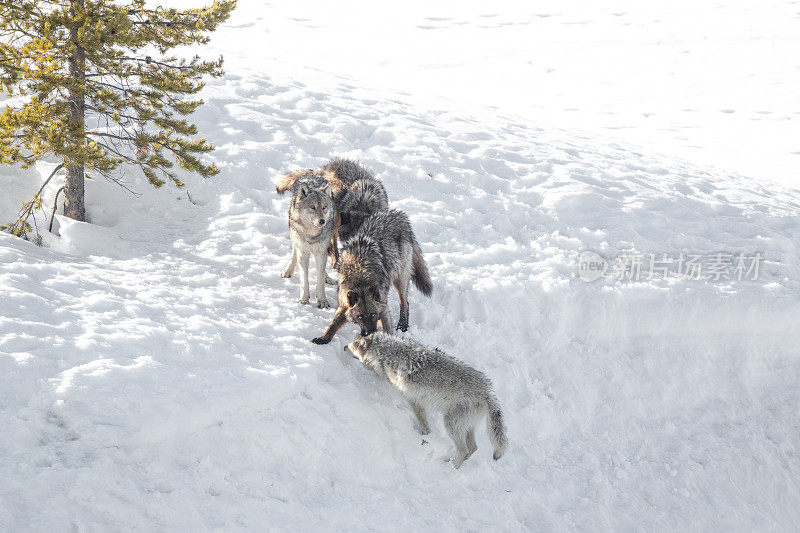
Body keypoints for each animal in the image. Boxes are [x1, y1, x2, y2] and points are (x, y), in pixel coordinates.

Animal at [280, 174, 332, 308]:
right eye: (312, 207)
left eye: (324, 207)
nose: (322, 221)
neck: (312, 235)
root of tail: (310, 174)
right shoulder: (303, 252)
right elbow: (304, 279)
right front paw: (304, 299)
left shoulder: (321, 252)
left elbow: (320, 279)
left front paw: (322, 300)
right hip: (295, 236)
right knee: (294, 252)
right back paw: (288, 270)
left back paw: (327, 277)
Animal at [310, 208, 432, 344]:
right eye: (360, 317)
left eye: (373, 315)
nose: (370, 333)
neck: (360, 276)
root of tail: (399, 215)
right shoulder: (343, 304)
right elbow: (333, 324)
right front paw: (324, 338)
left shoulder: (382, 307)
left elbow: (386, 327)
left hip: (400, 279)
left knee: (405, 303)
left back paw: (402, 325)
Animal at [346, 330, 510, 468]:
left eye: (353, 345)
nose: (343, 347)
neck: (386, 352)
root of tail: (487, 393)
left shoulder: (413, 400)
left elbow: (423, 424)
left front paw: (424, 436)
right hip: (466, 427)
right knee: (473, 448)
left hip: (451, 424)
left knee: (464, 450)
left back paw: (452, 468)